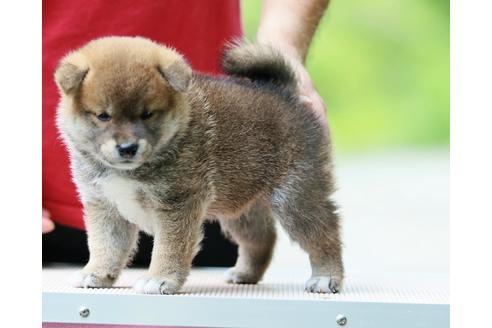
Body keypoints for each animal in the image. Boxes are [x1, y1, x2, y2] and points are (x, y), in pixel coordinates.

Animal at [53, 36, 344, 294]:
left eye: (147, 114)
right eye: (103, 116)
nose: (127, 148)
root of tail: (286, 96)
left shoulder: (177, 204)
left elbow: (168, 248)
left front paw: (160, 279)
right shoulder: (105, 206)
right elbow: (106, 246)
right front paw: (96, 272)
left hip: (295, 199)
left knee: (324, 235)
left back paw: (326, 276)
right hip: (242, 210)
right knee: (262, 238)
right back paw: (246, 273)